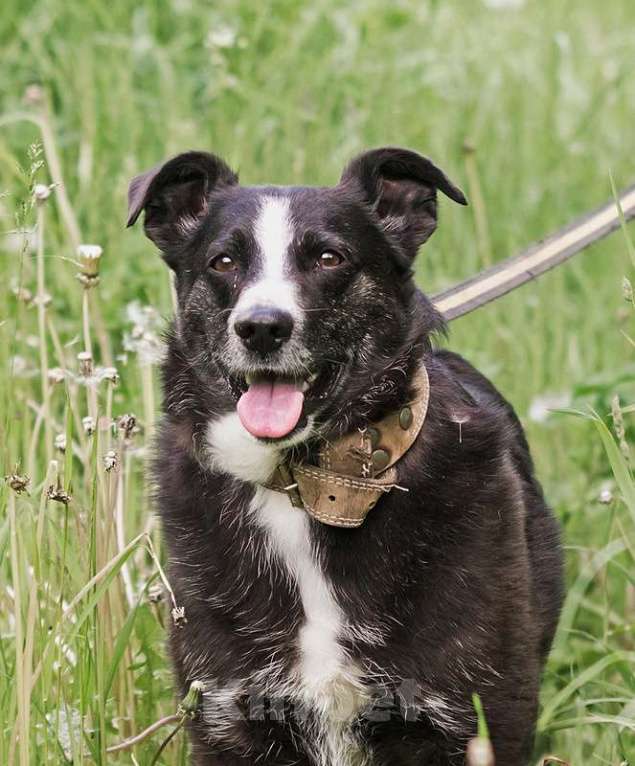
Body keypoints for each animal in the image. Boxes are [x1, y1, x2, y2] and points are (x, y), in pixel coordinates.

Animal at [126, 147, 564, 764]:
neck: (305, 481)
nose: (261, 327)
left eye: (329, 257)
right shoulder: (230, 722)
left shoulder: (481, 723)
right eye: (223, 261)